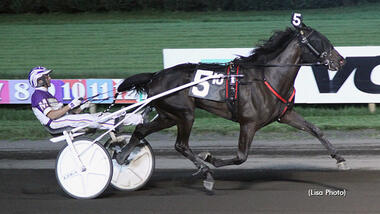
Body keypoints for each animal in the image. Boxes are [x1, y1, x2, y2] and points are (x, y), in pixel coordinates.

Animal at [115, 15, 348, 191]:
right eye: (320, 41)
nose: (341, 60)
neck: (267, 76)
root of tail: (155, 76)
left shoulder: (285, 114)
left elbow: (315, 130)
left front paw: (339, 158)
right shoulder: (249, 123)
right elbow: (241, 156)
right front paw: (211, 158)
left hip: (168, 116)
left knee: (140, 130)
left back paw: (121, 157)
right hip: (184, 114)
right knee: (180, 144)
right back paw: (206, 172)